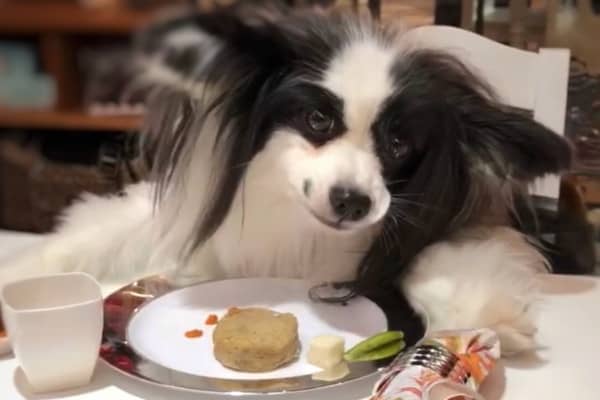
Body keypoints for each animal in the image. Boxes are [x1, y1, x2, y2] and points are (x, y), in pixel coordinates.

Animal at [0, 2, 572, 354]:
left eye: (398, 145)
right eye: (317, 120)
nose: (353, 203)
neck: (300, 225)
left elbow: (430, 259)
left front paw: (484, 312)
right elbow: (85, 235)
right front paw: (19, 274)